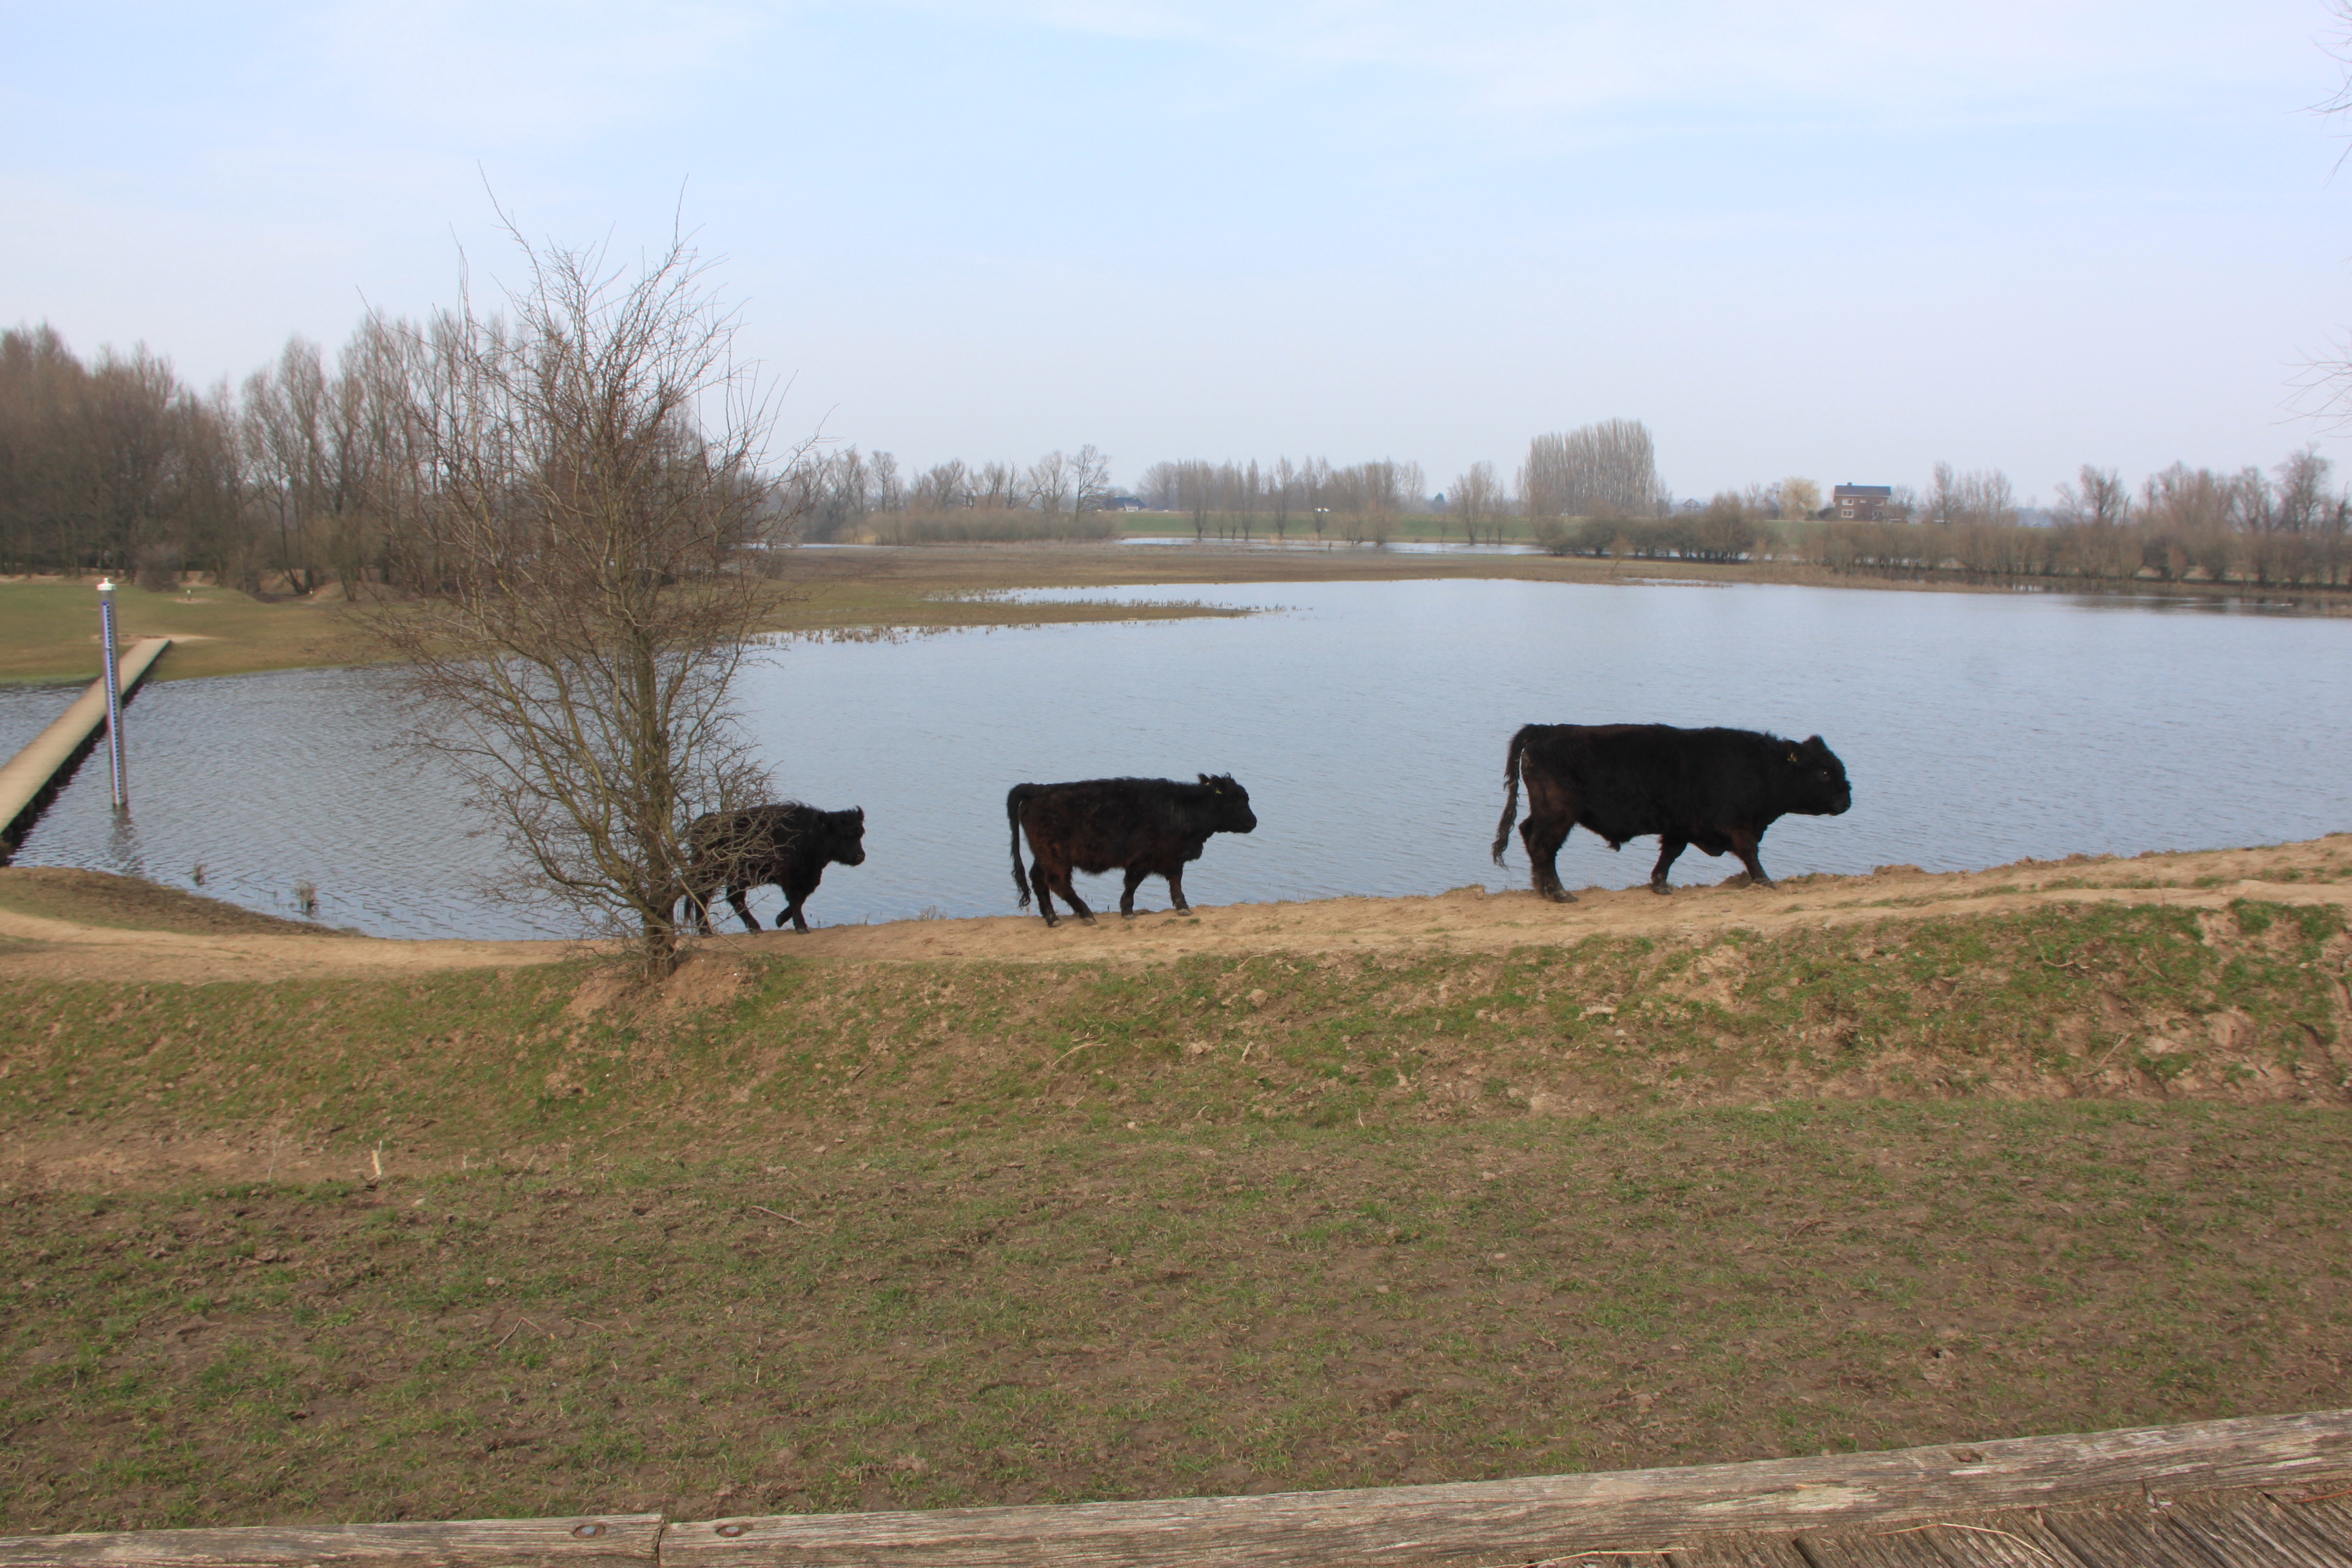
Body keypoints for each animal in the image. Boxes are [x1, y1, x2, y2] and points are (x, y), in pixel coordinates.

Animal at [678, 802, 866, 934]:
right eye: (841, 835)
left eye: (860, 833)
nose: (860, 856)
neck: (808, 835)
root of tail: (703, 822)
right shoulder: (790, 877)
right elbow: (795, 899)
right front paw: (801, 927)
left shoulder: (810, 877)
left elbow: (800, 899)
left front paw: (780, 919)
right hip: (712, 873)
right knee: (703, 896)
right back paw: (706, 931)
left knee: (733, 897)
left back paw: (753, 927)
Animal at [1007, 774, 1258, 927]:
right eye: (1240, 800)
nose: (1254, 822)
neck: (1182, 809)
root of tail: (1037, 789)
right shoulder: (1143, 858)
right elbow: (1134, 883)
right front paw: (1128, 910)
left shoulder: (1173, 856)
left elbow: (1175, 880)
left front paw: (1182, 906)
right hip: (1056, 855)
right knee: (1057, 882)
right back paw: (1085, 913)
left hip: (1044, 855)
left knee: (1039, 880)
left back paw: (1052, 918)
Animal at [1490, 724, 1851, 902]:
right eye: (1824, 772)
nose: (1847, 799)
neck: (1762, 767)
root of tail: (1545, 730)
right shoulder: (1737, 825)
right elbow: (1750, 851)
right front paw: (1765, 881)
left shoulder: (1681, 827)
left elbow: (1670, 854)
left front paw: (1660, 885)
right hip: (1559, 814)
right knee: (1543, 845)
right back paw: (1559, 893)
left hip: (1547, 812)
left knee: (1530, 835)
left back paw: (1542, 888)